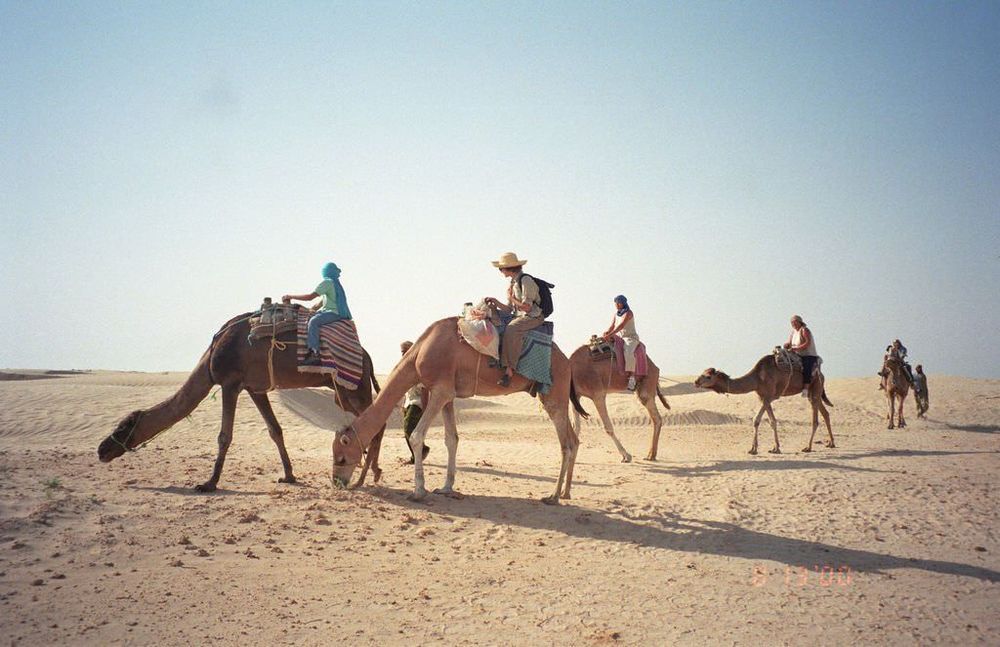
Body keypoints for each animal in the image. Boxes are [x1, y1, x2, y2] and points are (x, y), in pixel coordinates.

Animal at [96, 310, 382, 492]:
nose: (102, 450)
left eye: (123, 427)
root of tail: (367, 355)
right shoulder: (256, 389)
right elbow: (275, 430)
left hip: (350, 388)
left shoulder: (230, 383)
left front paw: (208, 483)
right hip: (344, 391)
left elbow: (224, 436)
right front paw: (289, 476)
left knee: (374, 422)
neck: (210, 359)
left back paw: (368, 476)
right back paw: (371, 472)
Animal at [328, 316, 584, 504]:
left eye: (341, 457)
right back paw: (565, 493)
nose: (336, 482)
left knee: (566, 443)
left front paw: (419, 491)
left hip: (554, 393)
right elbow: (452, 438)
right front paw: (446, 487)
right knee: (573, 439)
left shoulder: (440, 391)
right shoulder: (449, 395)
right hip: (553, 395)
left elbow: (417, 435)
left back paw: (552, 496)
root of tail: (567, 362)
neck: (420, 354)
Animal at [692, 354, 832, 456]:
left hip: (815, 386)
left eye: (708, 376)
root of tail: (821, 374)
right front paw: (775, 448)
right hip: (814, 392)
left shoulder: (770, 396)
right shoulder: (762, 397)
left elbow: (756, 419)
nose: (696, 381)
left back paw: (808, 447)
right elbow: (772, 421)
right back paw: (831, 443)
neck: (757, 378)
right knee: (825, 413)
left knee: (815, 420)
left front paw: (753, 449)